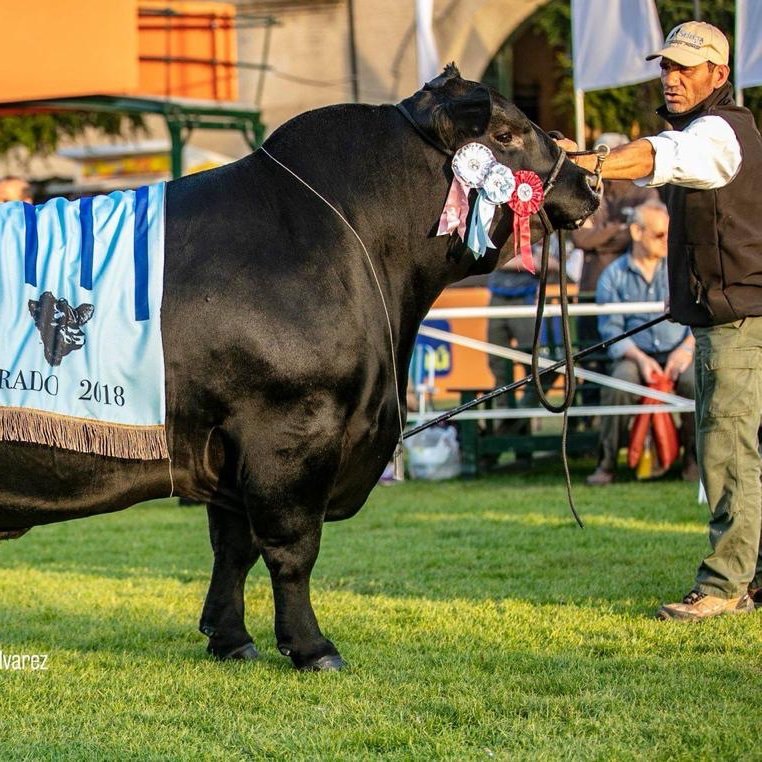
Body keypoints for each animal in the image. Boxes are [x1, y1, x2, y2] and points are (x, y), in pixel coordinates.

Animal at [0, 68, 592, 668]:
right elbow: (292, 548)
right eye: (505, 134)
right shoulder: (292, 429)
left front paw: (229, 638)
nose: (588, 185)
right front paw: (312, 647)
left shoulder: (231, 448)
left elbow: (233, 547)